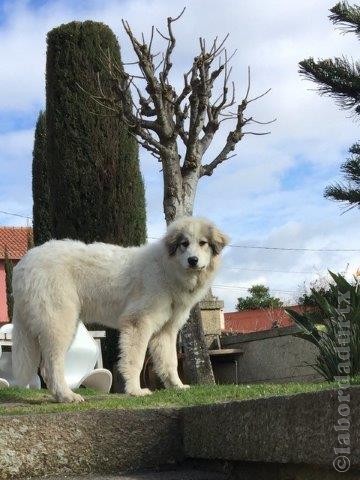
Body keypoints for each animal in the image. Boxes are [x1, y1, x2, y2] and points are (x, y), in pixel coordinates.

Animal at [12, 218, 229, 402]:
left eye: (202, 243)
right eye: (184, 243)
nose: (193, 260)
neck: (167, 268)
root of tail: (24, 263)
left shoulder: (166, 331)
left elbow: (170, 362)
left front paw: (177, 386)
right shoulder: (138, 323)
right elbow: (135, 360)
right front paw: (135, 391)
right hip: (59, 324)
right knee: (51, 366)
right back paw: (67, 396)